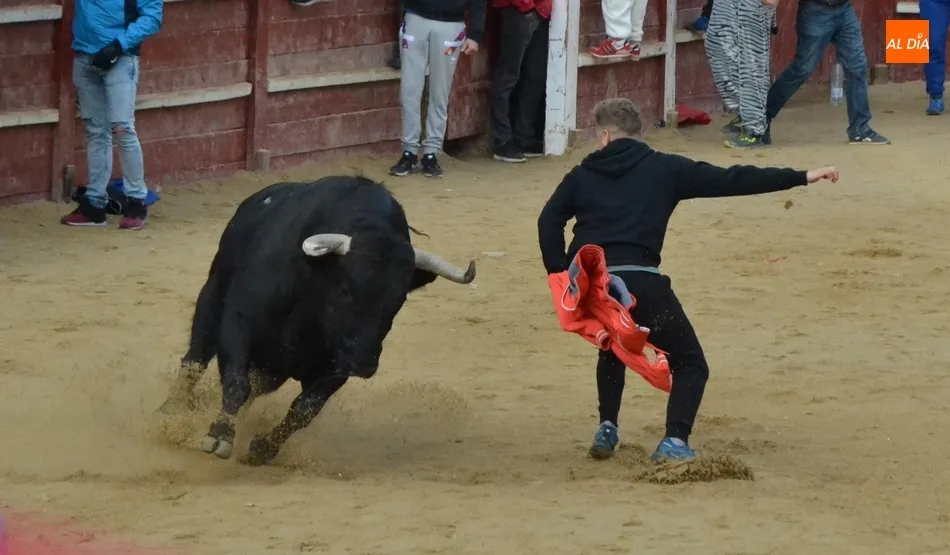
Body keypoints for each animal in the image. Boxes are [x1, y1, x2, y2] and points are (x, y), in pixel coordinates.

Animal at [156, 176, 476, 466]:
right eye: (345, 288)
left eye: (399, 299)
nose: (364, 363)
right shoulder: (239, 323)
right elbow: (236, 382)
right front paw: (220, 435)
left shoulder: (337, 368)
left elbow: (305, 409)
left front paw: (261, 448)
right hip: (211, 298)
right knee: (195, 359)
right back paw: (171, 412)